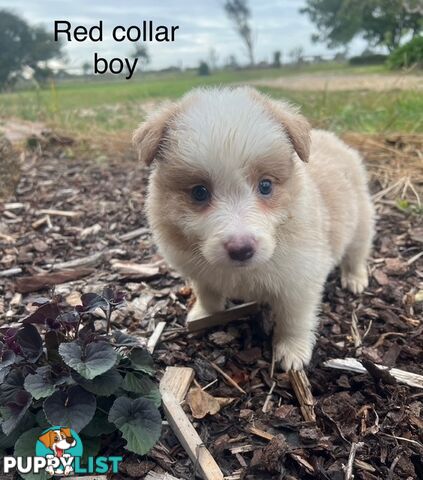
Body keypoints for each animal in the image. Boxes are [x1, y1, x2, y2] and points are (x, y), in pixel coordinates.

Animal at [133, 87, 374, 372]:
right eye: (199, 192)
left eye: (266, 186)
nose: (241, 249)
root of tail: (333, 139)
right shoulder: (201, 273)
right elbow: (208, 294)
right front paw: (204, 315)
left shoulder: (300, 281)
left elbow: (294, 319)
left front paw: (292, 351)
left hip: (361, 223)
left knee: (357, 253)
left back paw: (355, 278)